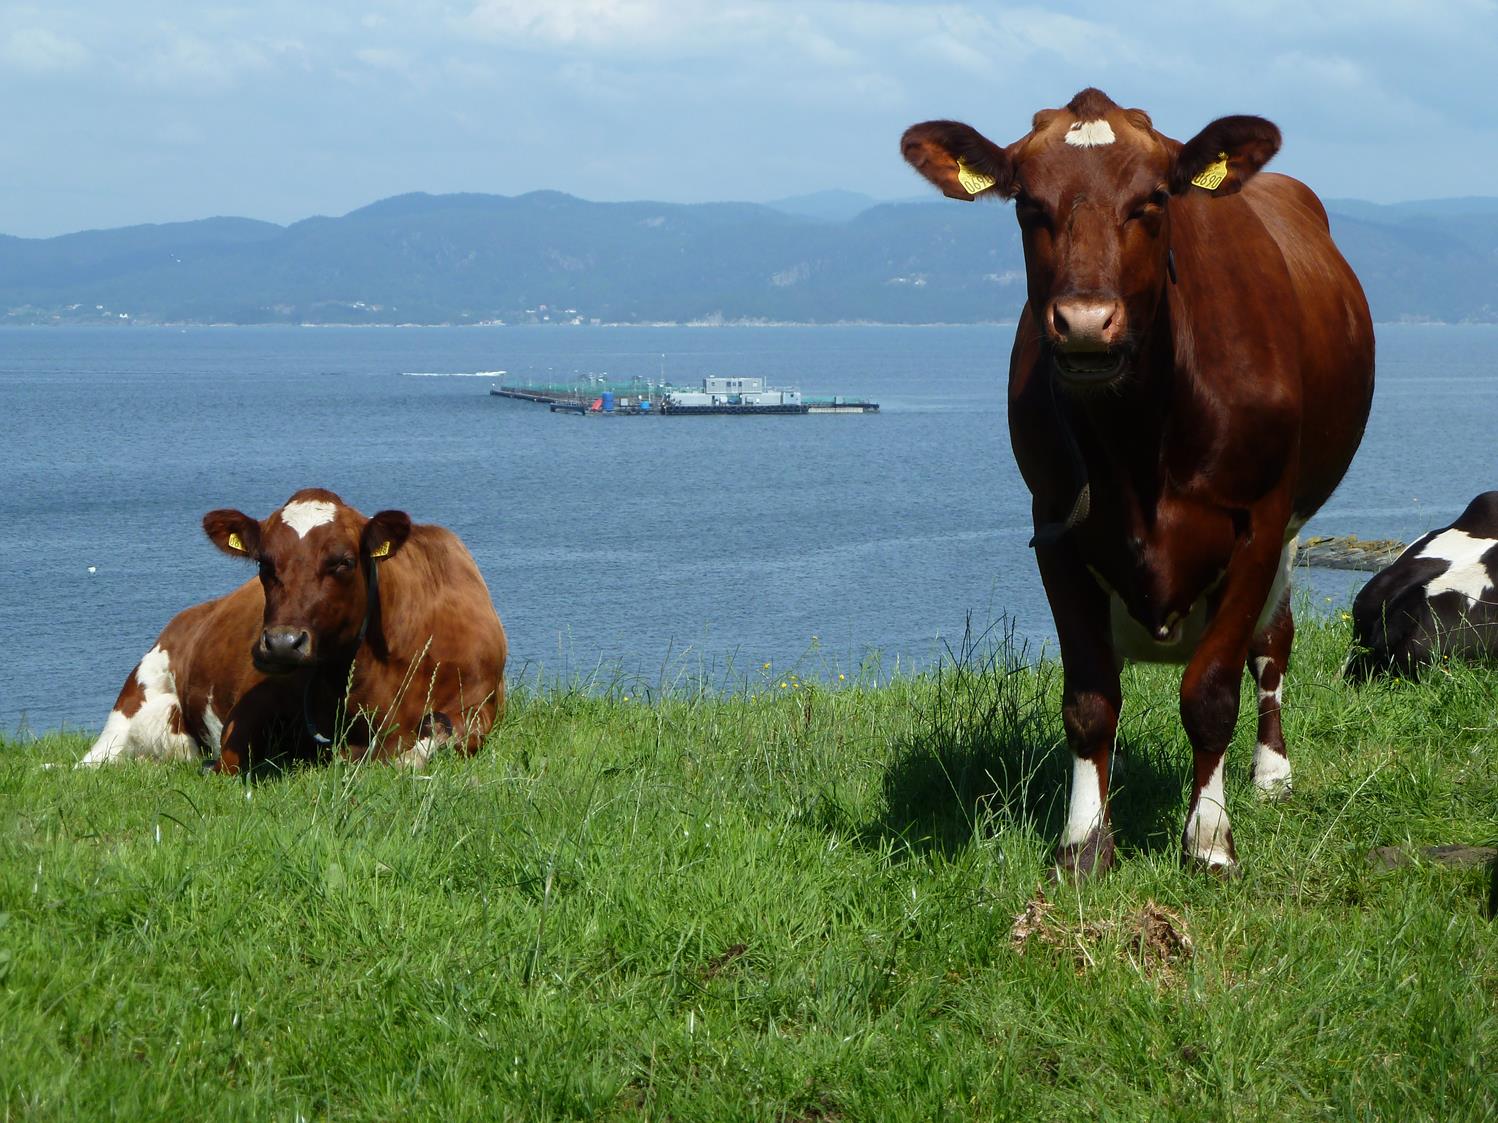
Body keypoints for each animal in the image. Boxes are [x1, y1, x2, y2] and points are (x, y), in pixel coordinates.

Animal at [82, 488, 509, 778]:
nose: (282, 644)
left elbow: (432, 739)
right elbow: (229, 760)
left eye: (343, 561)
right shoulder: (255, 700)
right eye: (263, 563)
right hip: (133, 701)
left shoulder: (480, 706)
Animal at [892, 90, 1372, 880]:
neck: (1140, 440)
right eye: (1028, 204)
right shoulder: (1055, 524)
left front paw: (1209, 840)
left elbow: (1211, 691)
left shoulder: (1259, 521)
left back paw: (1272, 771)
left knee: (1273, 642)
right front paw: (1084, 844)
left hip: (1293, 530)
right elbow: (1089, 698)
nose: (1086, 322)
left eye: (1152, 201)